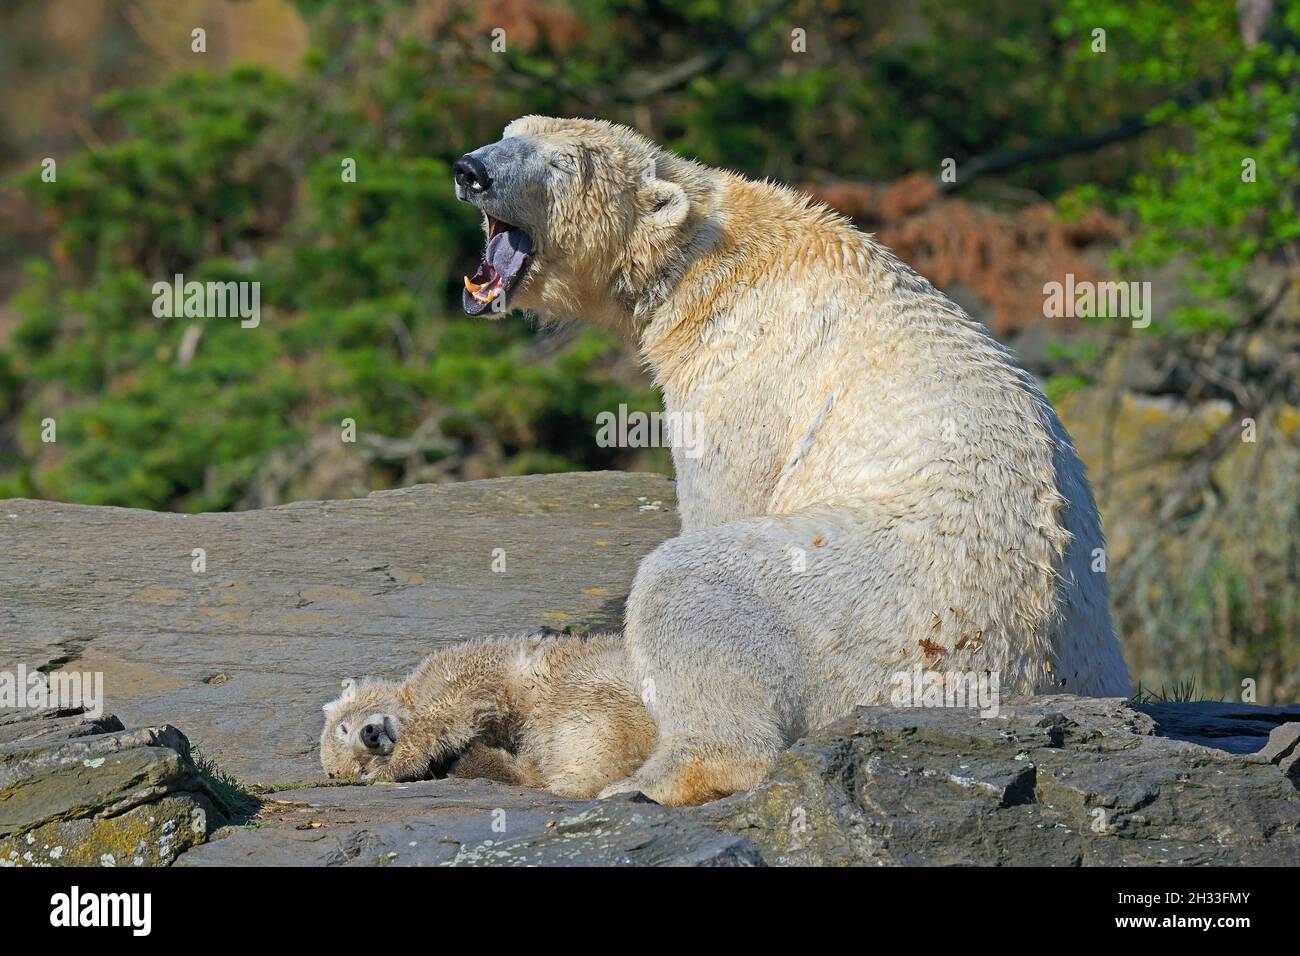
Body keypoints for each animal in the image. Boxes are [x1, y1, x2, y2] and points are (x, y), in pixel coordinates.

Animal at [452, 113, 1133, 806]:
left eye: (564, 163)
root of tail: (1028, 666)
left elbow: (724, 500)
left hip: (894, 613)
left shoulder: (742, 370)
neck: (707, 260)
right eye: (509, 131)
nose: (470, 170)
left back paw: (643, 780)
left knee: (690, 583)